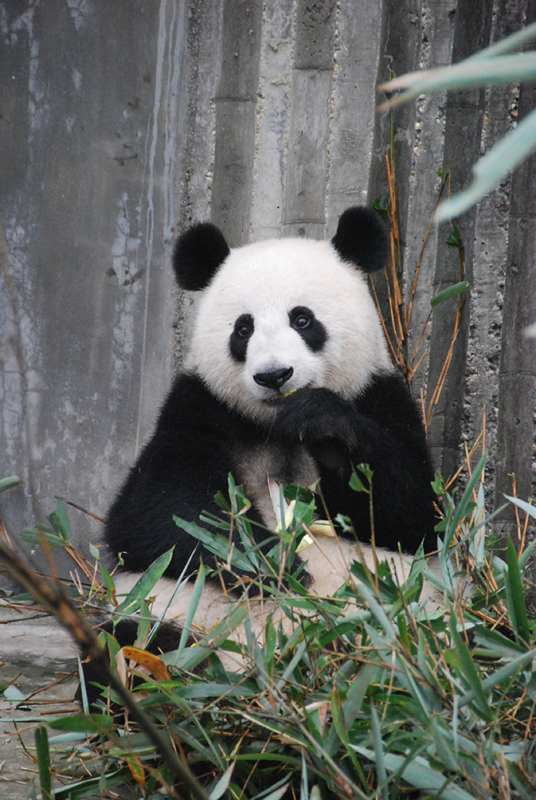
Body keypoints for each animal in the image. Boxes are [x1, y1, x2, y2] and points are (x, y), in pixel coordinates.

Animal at [103, 206, 440, 668]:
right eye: (243, 329)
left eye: (302, 319)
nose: (274, 375)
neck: (276, 425)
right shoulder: (199, 409)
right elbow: (156, 514)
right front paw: (277, 563)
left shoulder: (379, 396)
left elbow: (414, 515)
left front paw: (326, 429)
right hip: (160, 610)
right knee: (130, 643)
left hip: (408, 615)